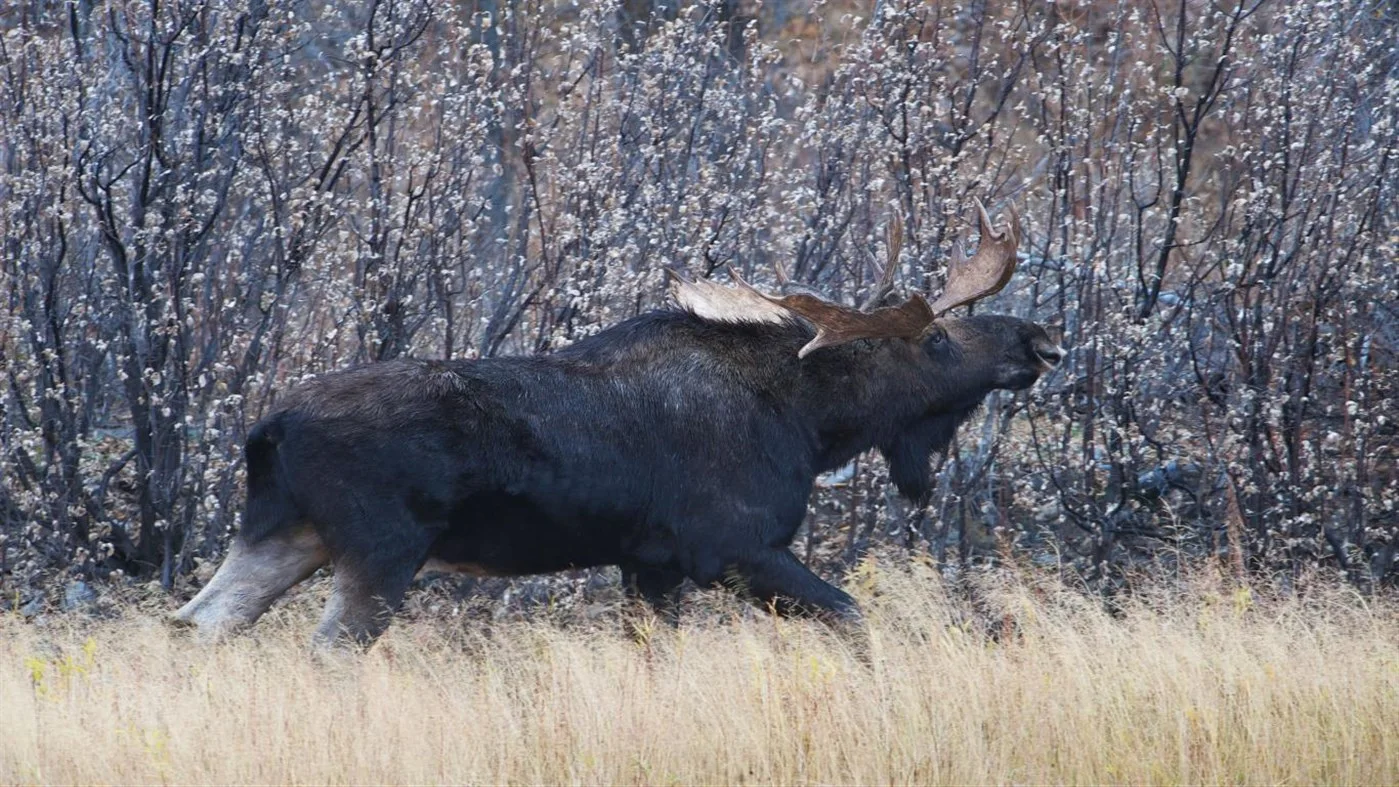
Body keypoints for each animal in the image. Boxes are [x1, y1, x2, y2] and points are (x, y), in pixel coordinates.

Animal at [177, 201, 1068, 645]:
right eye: (937, 338)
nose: (1039, 338)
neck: (814, 426)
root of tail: (267, 428)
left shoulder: (649, 565)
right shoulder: (730, 547)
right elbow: (854, 619)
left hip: (284, 532)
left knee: (200, 623)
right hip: (381, 547)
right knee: (325, 647)